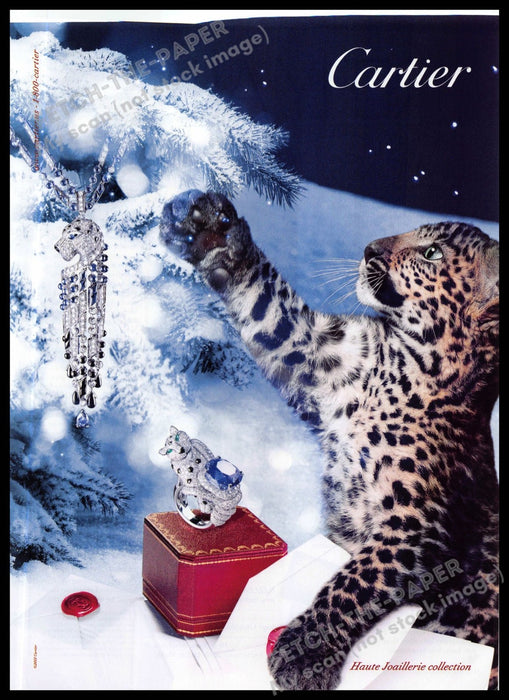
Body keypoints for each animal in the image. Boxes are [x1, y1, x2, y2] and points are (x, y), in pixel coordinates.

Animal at [159, 189, 499, 690]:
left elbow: (354, 583)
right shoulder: (316, 353)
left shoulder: (413, 526)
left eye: (433, 253)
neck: (406, 361)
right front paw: (211, 230)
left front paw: (304, 655)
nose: (370, 249)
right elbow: (267, 305)